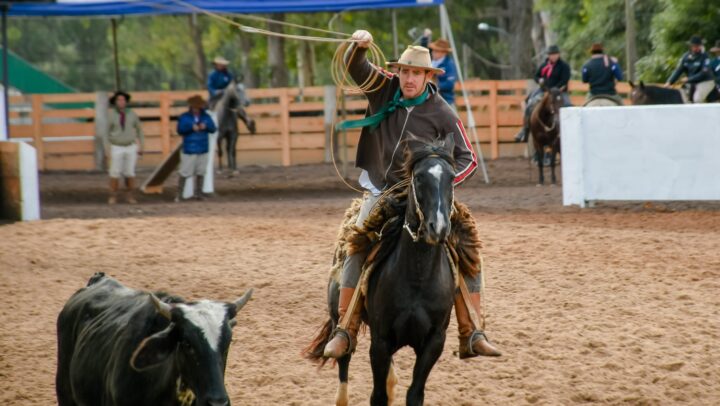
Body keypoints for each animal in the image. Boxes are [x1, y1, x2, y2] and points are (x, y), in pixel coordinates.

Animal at [304, 138, 456, 404]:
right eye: (418, 178)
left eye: (452, 178)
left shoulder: (435, 341)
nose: (437, 227)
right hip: (338, 317)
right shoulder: (380, 342)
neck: (418, 278)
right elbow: (378, 396)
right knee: (344, 357)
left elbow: (414, 394)